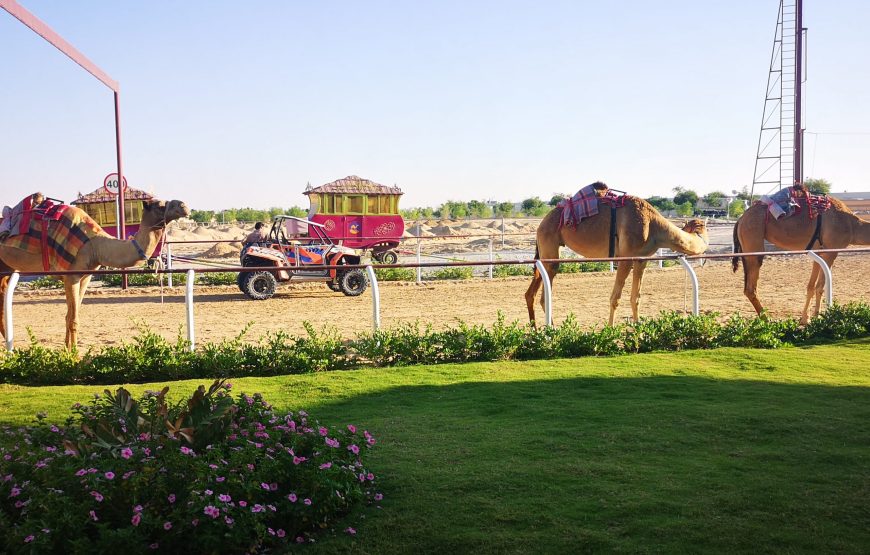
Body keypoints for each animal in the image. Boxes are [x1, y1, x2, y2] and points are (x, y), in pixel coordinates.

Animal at [0, 198, 190, 349]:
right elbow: (73, 319)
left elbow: (69, 316)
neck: (95, 245)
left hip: (6, 266)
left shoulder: (85, 277)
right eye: (160, 205)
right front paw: (74, 357)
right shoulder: (72, 276)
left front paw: (67, 351)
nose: (184, 206)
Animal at [525, 194, 709, 326]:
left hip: (544, 252)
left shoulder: (641, 259)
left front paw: (638, 330)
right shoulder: (626, 257)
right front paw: (610, 329)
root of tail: (540, 225)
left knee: (531, 293)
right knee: (544, 295)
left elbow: (636, 297)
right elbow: (615, 298)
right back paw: (553, 331)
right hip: (549, 247)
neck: (654, 226)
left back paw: (535, 330)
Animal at [732, 189, 870, 324]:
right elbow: (820, 286)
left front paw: (807, 317)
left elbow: (812, 286)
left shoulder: (820, 252)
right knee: (751, 287)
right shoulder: (832, 251)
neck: (853, 226)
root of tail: (740, 219)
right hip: (753, 242)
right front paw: (817, 317)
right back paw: (767, 319)